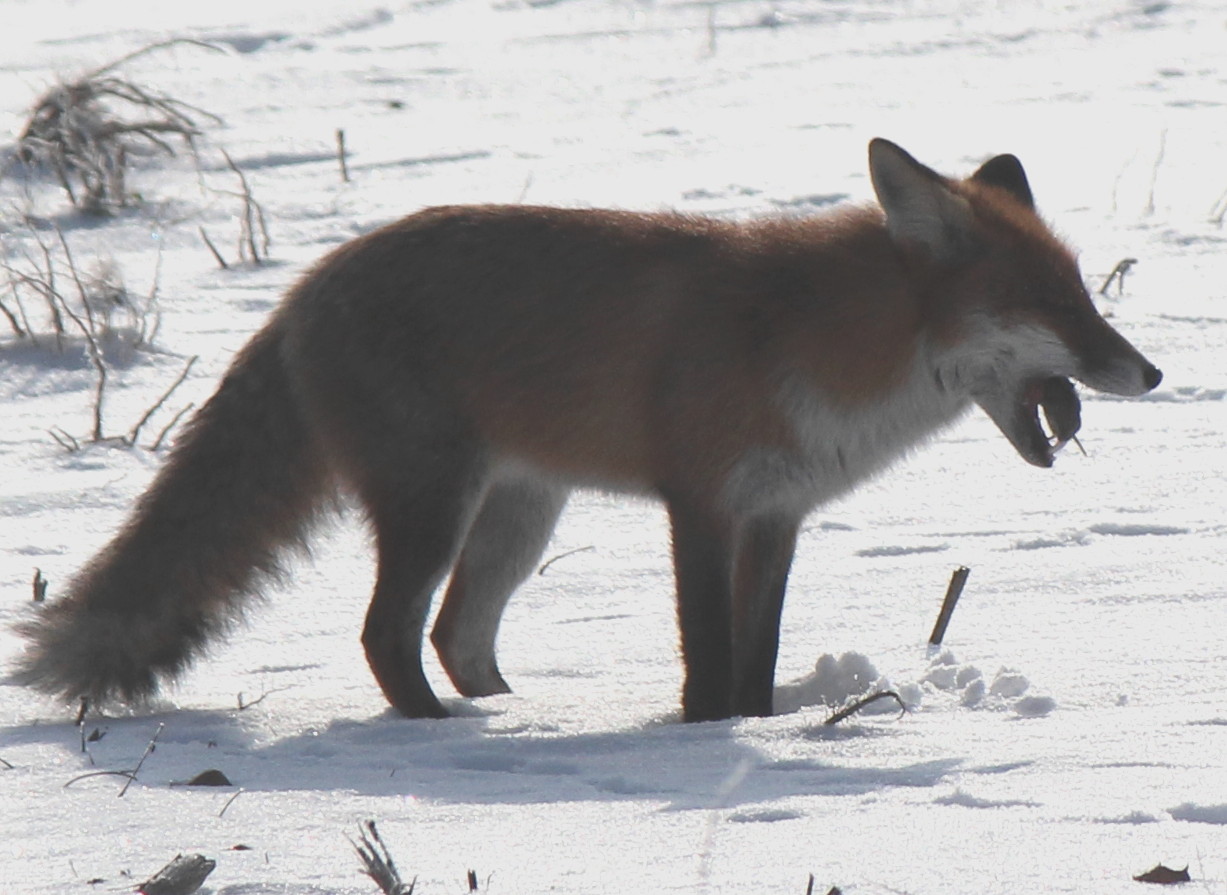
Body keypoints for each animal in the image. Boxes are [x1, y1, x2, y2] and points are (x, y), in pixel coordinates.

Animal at [14, 143, 1158, 721]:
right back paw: (457, 736)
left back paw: (512, 711)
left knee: (454, 636)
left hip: (521, 515)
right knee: (389, 636)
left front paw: (758, 725)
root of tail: (303, 288)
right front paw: (707, 740)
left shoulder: (776, 516)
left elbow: (754, 658)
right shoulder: (701, 503)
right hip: (437, 504)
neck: (819, 345)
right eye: (1053, 307)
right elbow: (708, 658)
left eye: (1087, 299)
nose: (1149, 372)